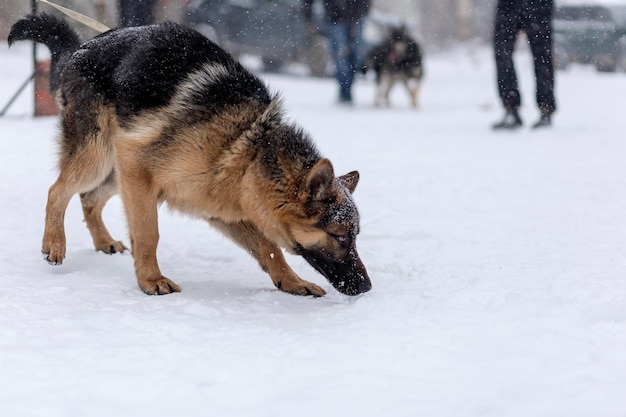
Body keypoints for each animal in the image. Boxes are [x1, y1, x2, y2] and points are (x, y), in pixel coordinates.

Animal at [7, 13, 370, 296]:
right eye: (340, 237)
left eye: (355, 237)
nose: (367, 287)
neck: (245, 149)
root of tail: (80, 50)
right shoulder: (138, 166)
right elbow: (148, 233)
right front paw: (150, 280)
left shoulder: (219, 208)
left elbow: (269, 249)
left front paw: (291, 282)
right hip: (100, 159)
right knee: (58, 190)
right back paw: (55, 243)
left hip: (117, 173)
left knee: (88, 197)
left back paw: (103, 241)